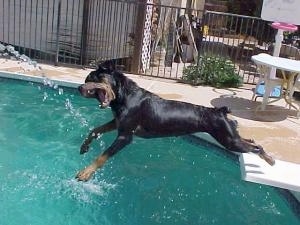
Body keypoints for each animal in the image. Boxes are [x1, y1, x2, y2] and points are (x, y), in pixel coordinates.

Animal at [76, 62, 276, 181]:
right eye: (86, 79)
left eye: (95, 78)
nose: (79, 88)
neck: (124, 96)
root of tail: (220, 111)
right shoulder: (117, 123)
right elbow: (95, 130)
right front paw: (84, 147)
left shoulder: (126, 136)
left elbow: (103, 155)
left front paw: (86, 172)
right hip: (230, 136)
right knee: (250, 140)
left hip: (228, 140)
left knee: (255, 147)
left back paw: (270, 160)